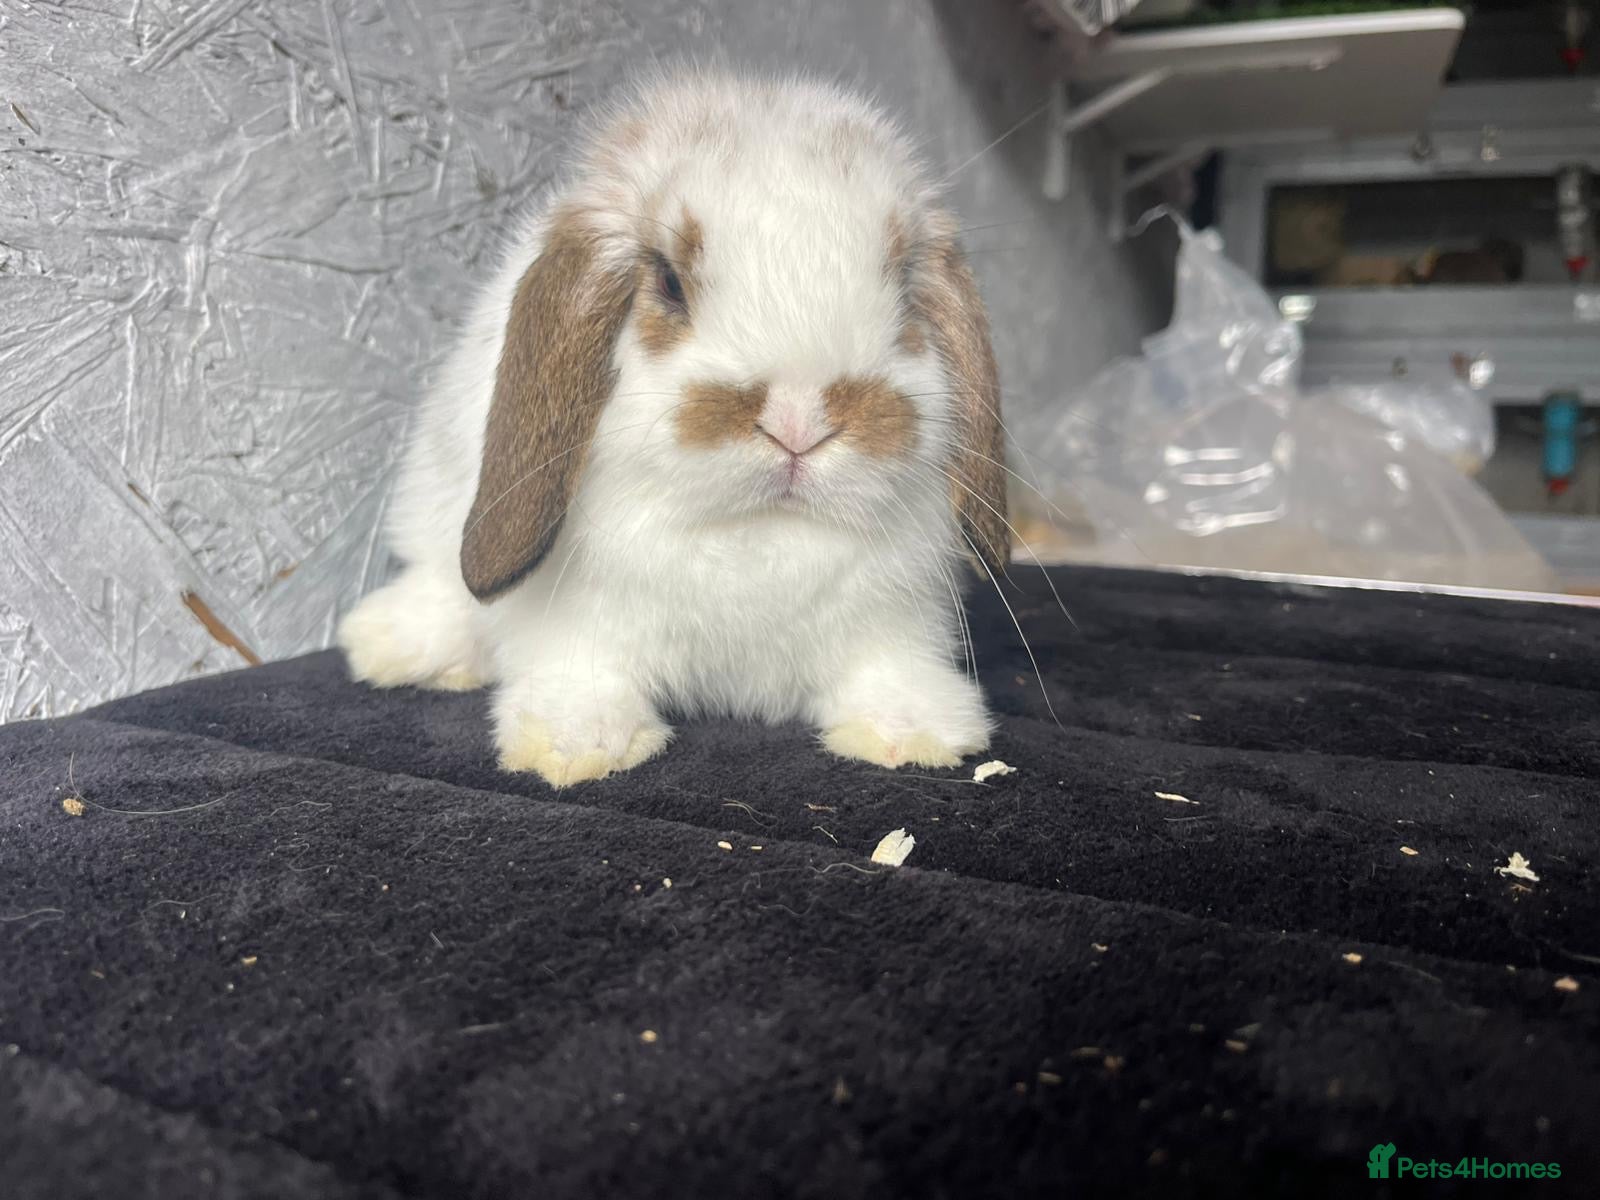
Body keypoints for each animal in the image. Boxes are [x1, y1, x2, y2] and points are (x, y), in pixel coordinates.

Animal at [337, 69, 1010, 788]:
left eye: (905, 286)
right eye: (668, 281)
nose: (798, 422)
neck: (754, 535)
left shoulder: (891, 616)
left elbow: (887, 670)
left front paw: (916, 732)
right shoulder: (580, 624)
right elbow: (582, 673)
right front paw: (575, 745)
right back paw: (391, 645)